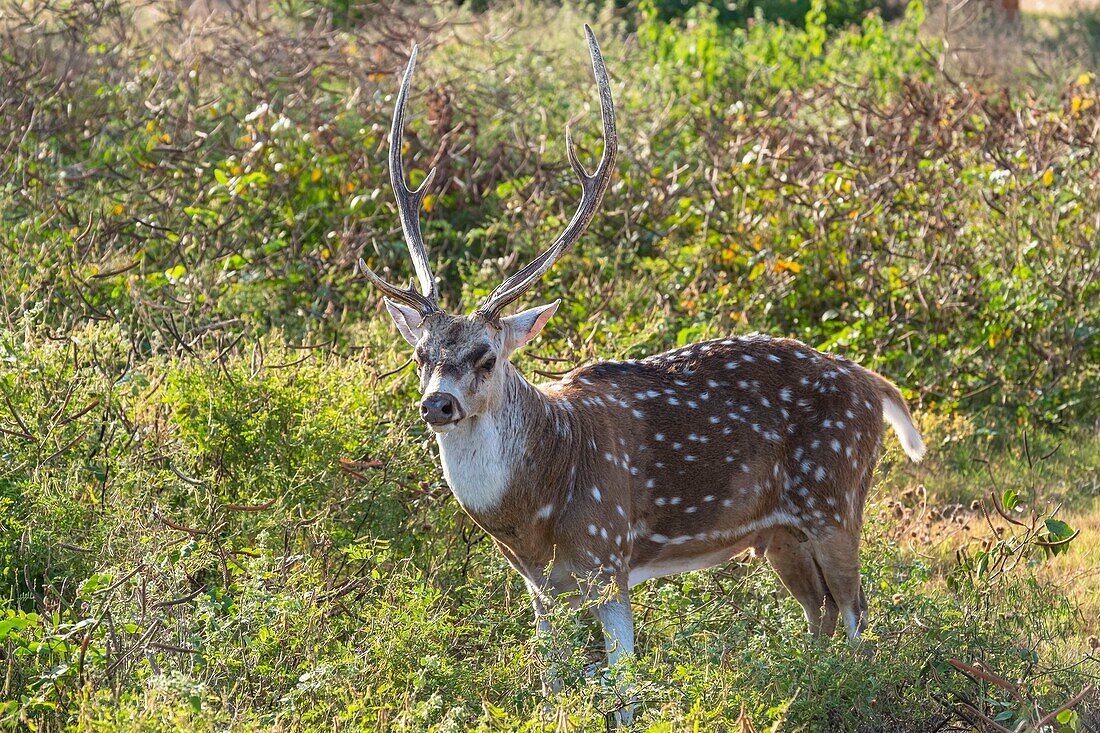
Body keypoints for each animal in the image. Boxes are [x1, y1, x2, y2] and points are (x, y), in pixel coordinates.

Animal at [358, 27, 919, 713]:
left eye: (486, 358)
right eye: (421, 356)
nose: (437, 404)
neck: (535, 510)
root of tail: (872, 382)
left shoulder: (609, 556)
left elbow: (624, 686)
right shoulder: (541, 587)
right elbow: (553, 682)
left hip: (836, 497)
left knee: (858, 610)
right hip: (781, 534)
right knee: (822, 611)